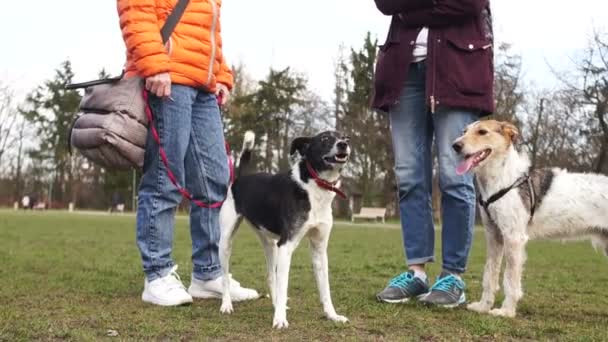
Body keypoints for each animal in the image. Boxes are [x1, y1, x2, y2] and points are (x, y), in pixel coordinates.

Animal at [218, 130, 352, 328]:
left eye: (345, 137)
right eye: (325, 139)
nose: (343, 144)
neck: (314, 186)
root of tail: (241, 178)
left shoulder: (319, 249)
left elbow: (325, 289)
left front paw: (332, 315)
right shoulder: (286, 245)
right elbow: (284, 286)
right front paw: (280, 319)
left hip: (270, 244)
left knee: (270, 276)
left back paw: (274, 305)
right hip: (226, 242)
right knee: (226, 276)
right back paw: (227, 304)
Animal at [452, 119, 608, 318]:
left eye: (482, 132)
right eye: (464, 131)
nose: (455, 146)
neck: (502, 178)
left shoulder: (513, 238)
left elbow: (510, 280)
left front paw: (506, 311)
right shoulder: (494, 236)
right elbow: (489, 275)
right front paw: (483, 306)